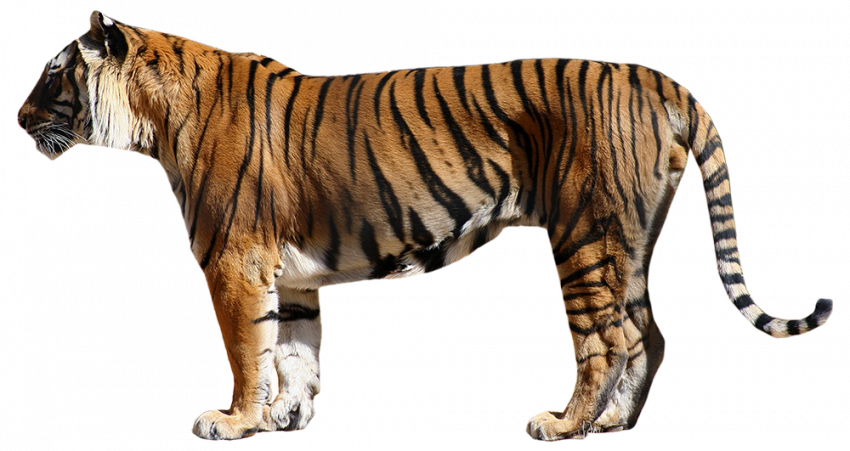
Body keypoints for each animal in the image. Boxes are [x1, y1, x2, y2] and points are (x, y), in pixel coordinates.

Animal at [18, 10, 833, 442]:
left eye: (54, 76)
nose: (19, 116)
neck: (152, 117)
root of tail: (656, 77)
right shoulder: (291, 273)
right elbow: (293, 351)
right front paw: (286, 416)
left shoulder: (235, 259)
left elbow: (249, 351)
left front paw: (234, 419)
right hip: (627, 243)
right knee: (651, 333)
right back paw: (614, 426)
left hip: (584, 236)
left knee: (609, 339)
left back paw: (561, 424)